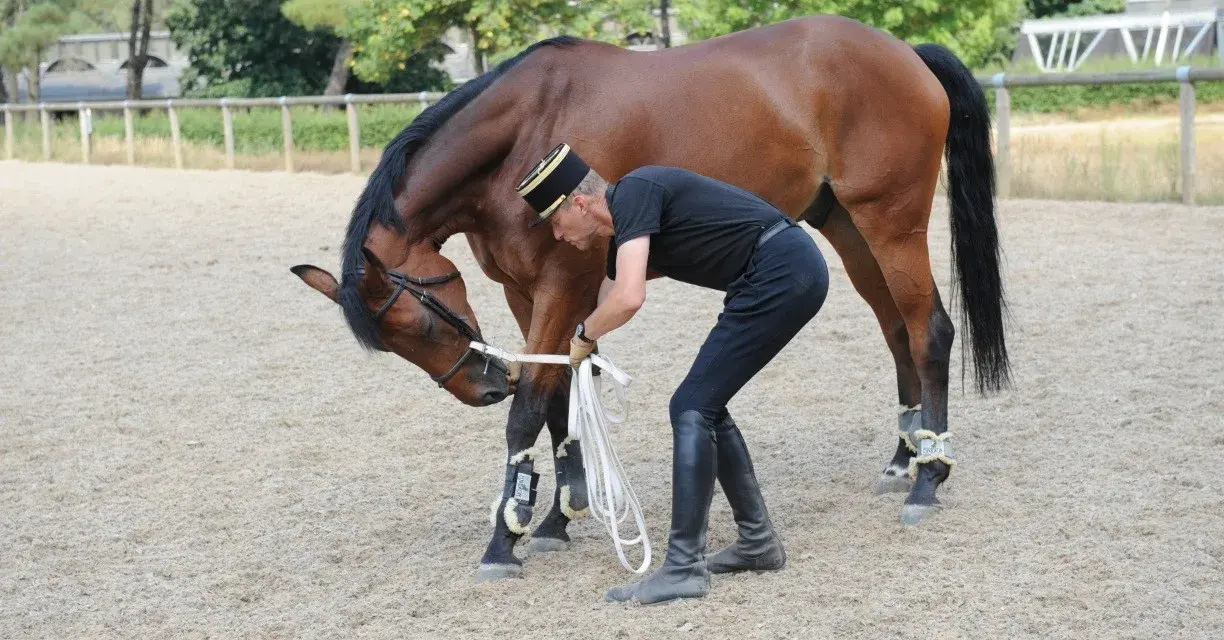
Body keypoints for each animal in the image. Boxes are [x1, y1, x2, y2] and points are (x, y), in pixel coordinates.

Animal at [292, 15, 1009, 581]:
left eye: (422, 321)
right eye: (397, 343)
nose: (483, 386)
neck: (525, 134)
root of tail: (906, 52)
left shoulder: (566, 284)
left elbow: (529, 411)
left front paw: (506, 537)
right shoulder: (526, 291)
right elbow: (559, 393)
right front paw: (558, 517)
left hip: (892, 223)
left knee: (928, 329)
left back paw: (928, 478)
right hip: (847, 227)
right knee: (896, 330)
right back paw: (905, 456)